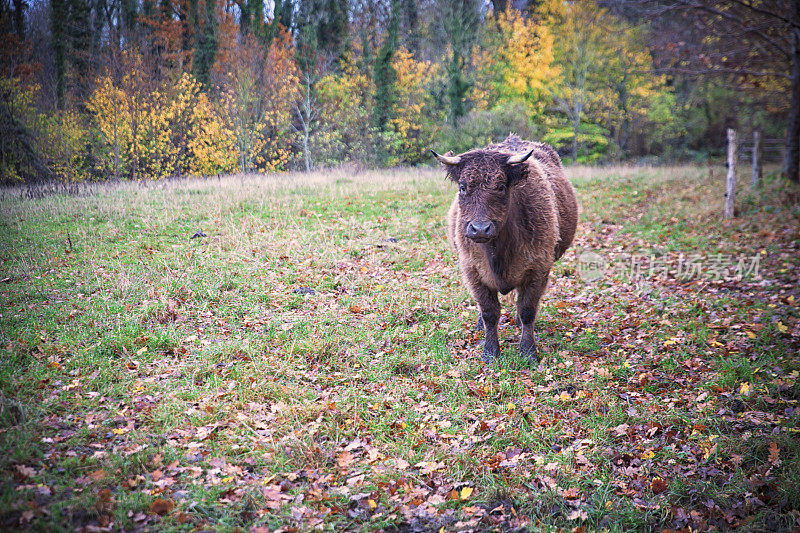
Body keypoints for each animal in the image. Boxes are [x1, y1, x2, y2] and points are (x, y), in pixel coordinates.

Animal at [434, 135, 580, 364]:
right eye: (463, 187)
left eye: (501, 186)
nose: (480, 228)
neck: (498, 252)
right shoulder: (472, 271)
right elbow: (489, 312)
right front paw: (490, 351)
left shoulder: (538, 269)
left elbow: (527, 310)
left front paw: (528, 352)